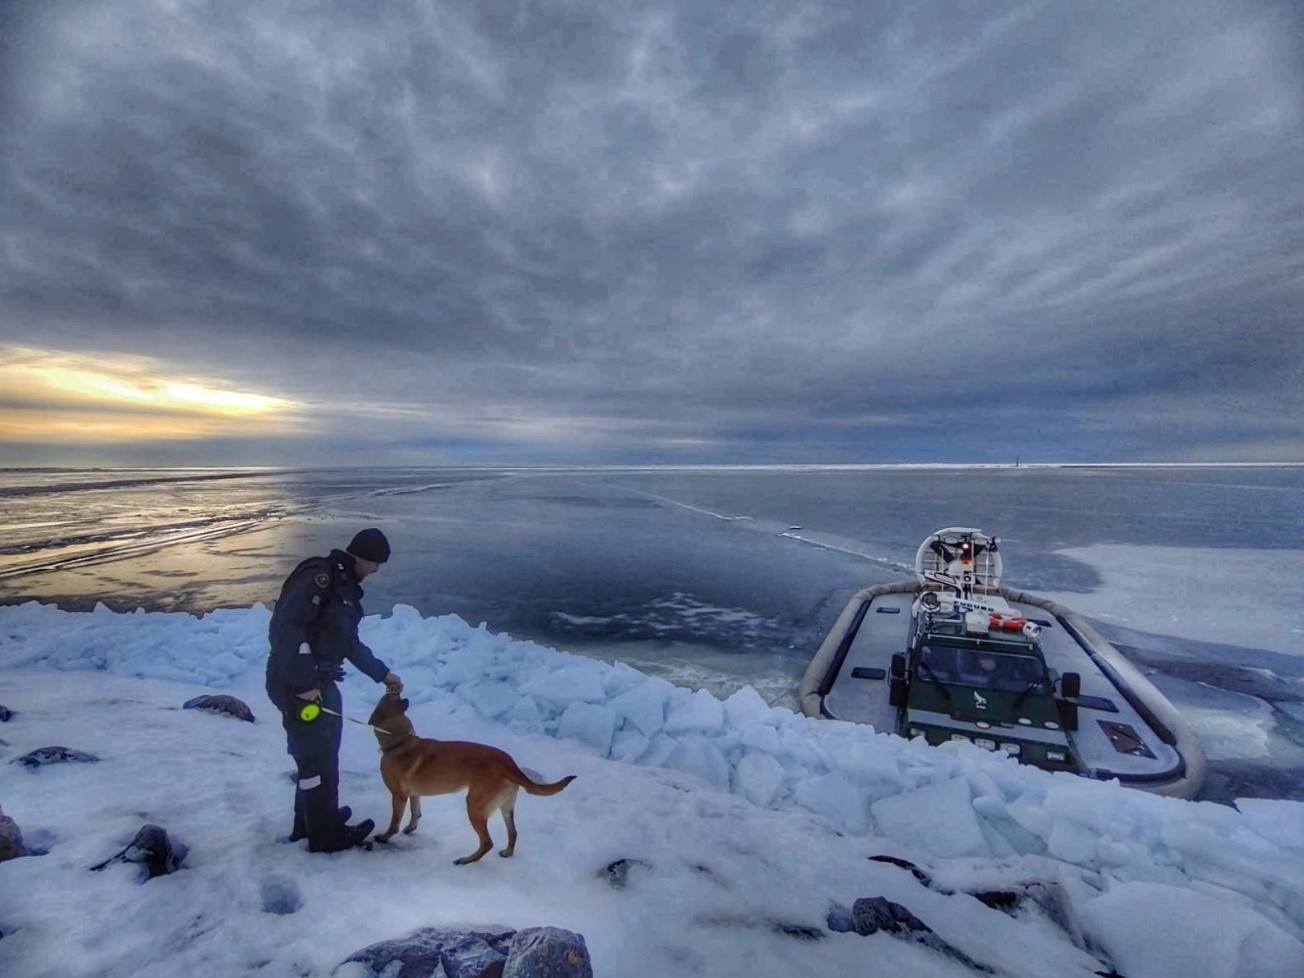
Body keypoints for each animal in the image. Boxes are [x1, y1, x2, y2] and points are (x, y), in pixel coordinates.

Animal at [365, 688, 573, 865]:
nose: (393, 688)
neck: (402, 742)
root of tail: (508, 762)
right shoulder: (414, 794)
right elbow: (416, 813)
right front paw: (410, 828)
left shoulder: (398, 796)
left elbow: (394, 822)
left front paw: (384, 837)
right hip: (506, 807)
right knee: (513, 832)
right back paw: (507, 852)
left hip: (474, 806)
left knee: (487, 842)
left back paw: (467, 860)